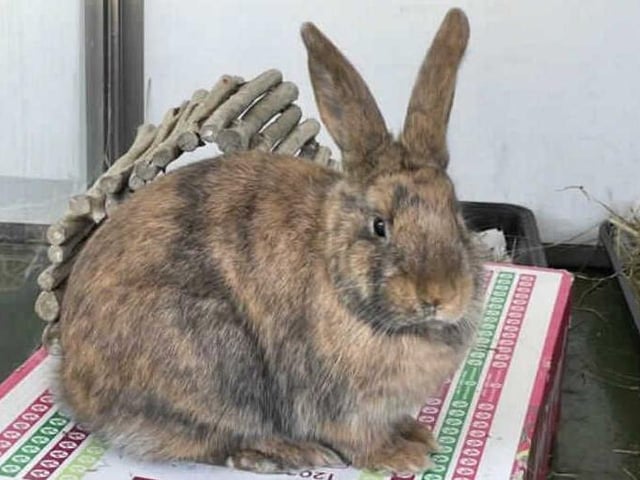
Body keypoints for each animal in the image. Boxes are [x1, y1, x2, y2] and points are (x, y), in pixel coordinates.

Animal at [55, 7, 483, 475]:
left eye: (456, 214)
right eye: (379, 226)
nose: (440, 296)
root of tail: (71, 381)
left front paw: (417, 433)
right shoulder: (339, 405)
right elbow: (358, 440)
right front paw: (402, 455)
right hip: (217, 361)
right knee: (213, 440)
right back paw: (286, 451)